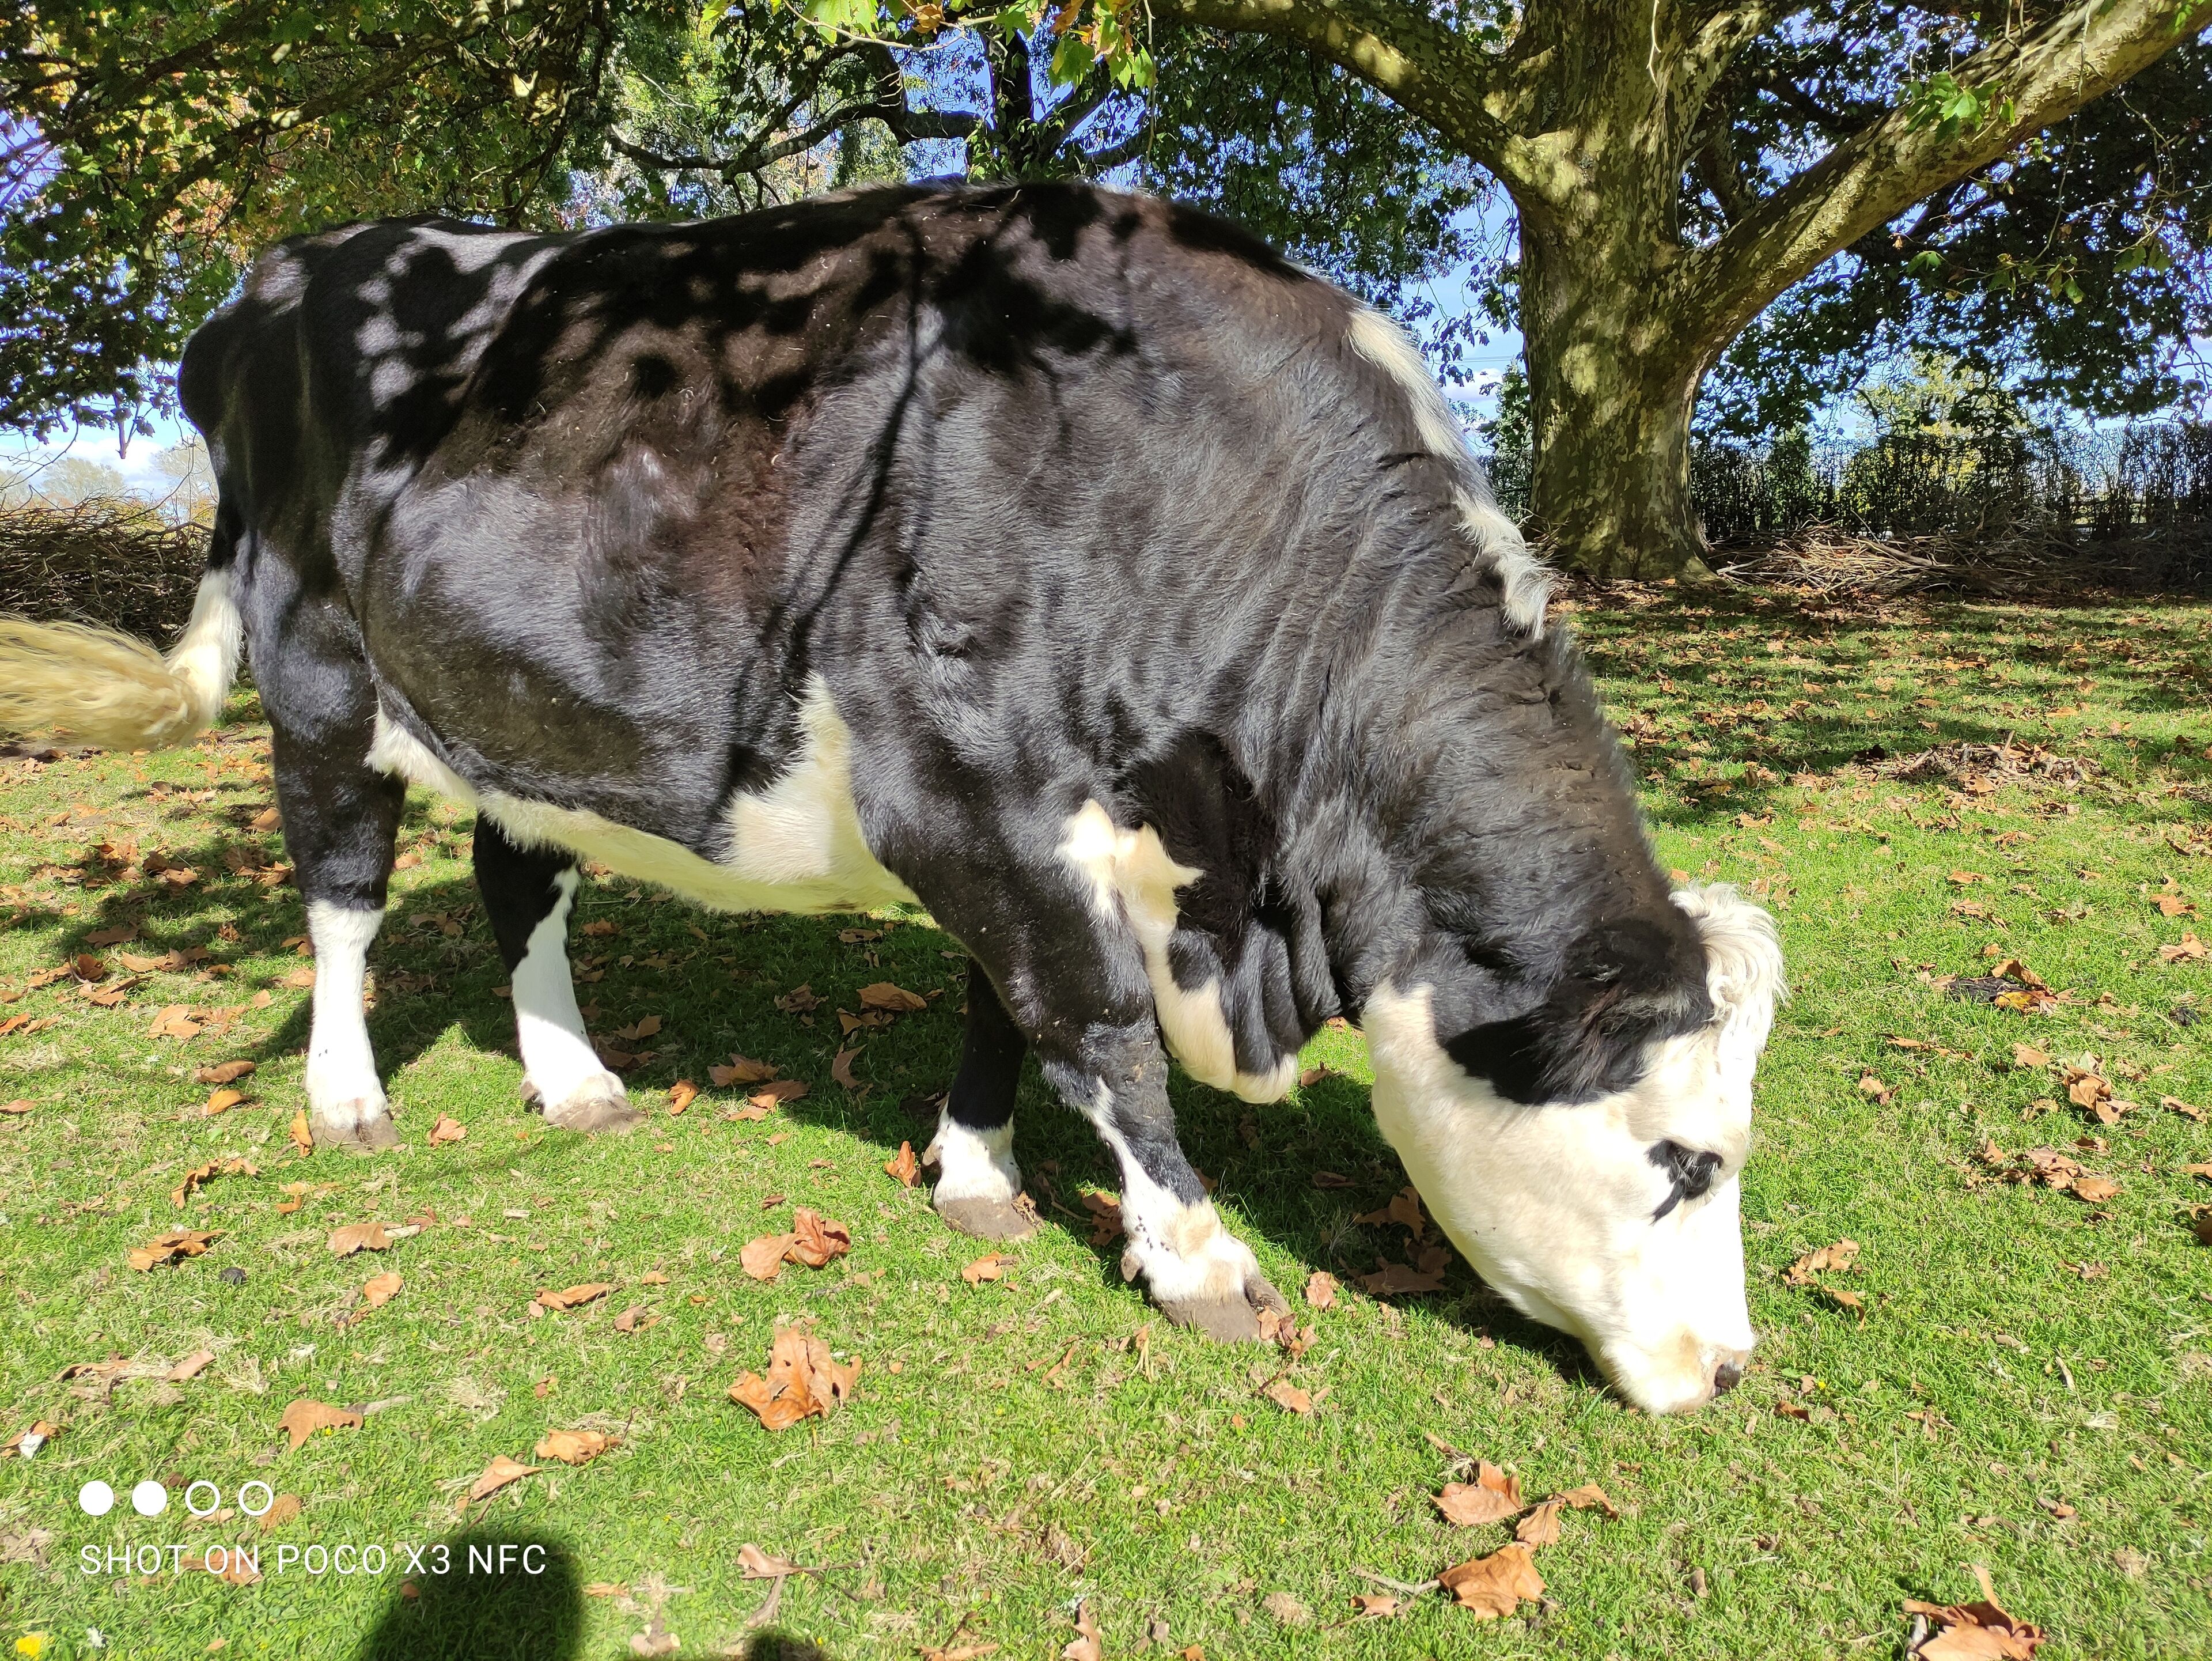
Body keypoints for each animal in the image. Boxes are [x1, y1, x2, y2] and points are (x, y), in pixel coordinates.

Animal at [0, 182, 1783, 1414]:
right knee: (341, 892)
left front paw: (977, 1170)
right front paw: (1198, 1253)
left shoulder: (1020, 823)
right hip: (316, 669)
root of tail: (275, 279)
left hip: (517, 700)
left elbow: (1003, 1004)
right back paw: (346, 1092)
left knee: (521, 885)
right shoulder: (966, 793)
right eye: (1683, 1158)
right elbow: (1092, 1023)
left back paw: (573, 1078)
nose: (1733, 1367)